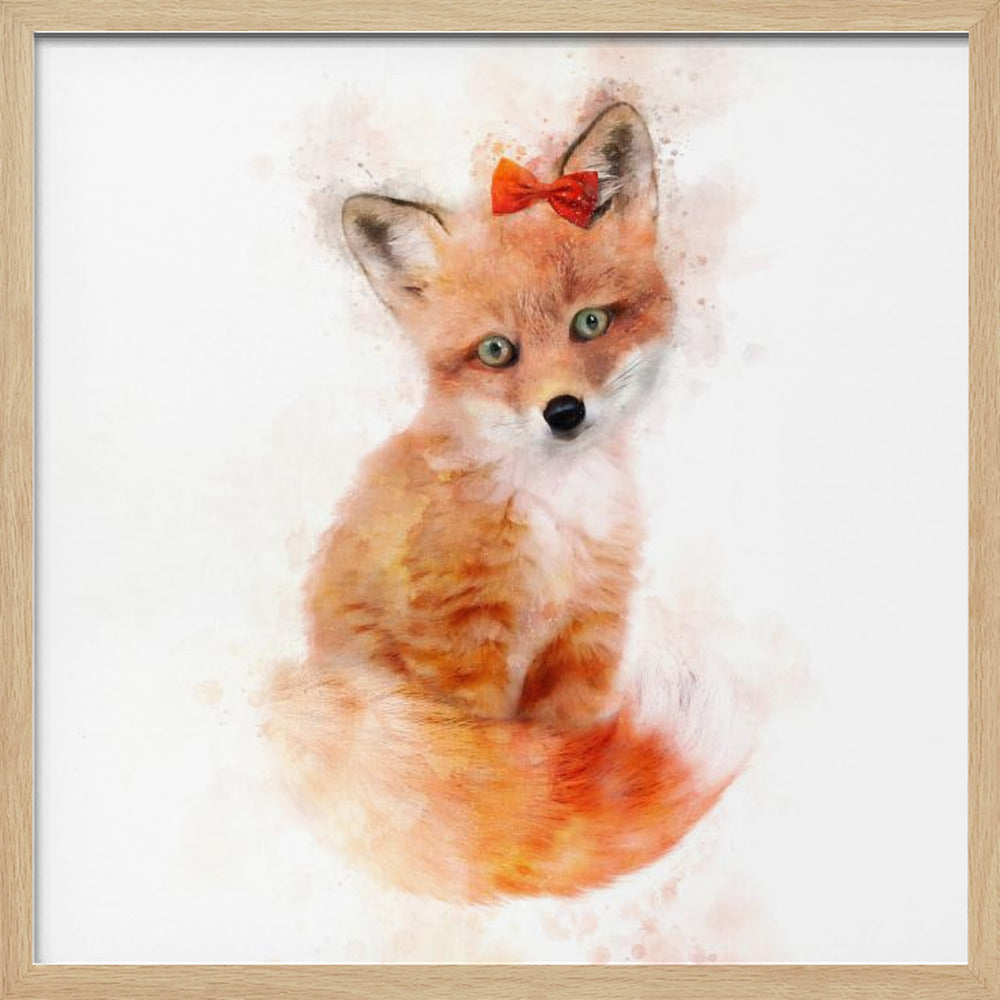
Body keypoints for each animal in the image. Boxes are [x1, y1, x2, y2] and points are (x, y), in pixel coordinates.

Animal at [266, 102, 742, 902]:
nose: (564, 412)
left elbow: (567, 777)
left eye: (590, 322)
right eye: (496, 351)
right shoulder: (458, 650)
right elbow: (502, 794)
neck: (554, 516)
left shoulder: (584, 640)